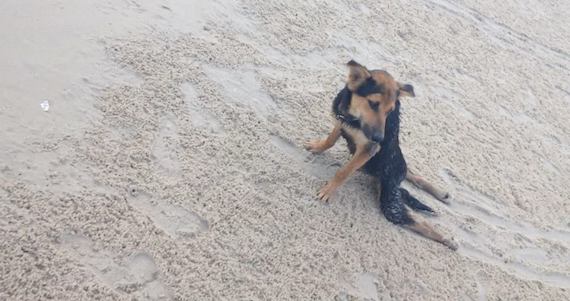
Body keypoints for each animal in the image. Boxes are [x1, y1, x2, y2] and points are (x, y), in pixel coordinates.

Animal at [304, 60, 454, 248]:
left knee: (418, 221)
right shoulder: (342, 120)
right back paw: (441, 193)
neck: (354, 117)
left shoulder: (368, 149)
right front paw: (318, 147)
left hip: (390, 202)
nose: (379, 138)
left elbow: (343, 172)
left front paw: (328, 191)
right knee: (412, 175)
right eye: (373, 104)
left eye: (390, 110)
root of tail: (398, 179)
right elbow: (330, 140)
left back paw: (447, 239)